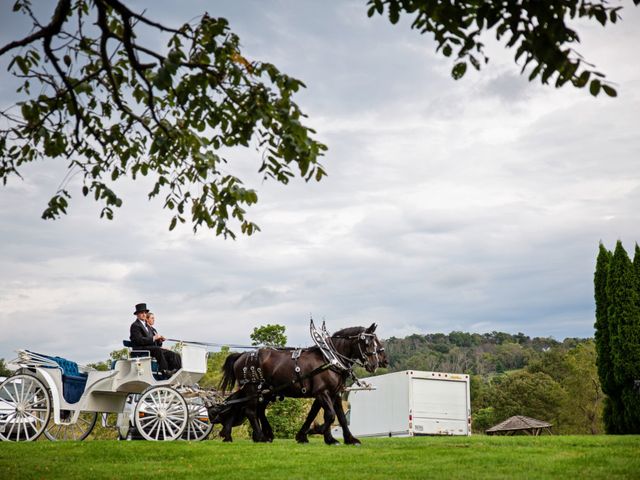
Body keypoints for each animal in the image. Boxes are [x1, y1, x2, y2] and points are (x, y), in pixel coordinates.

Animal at [218, 324, 388, 444]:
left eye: (376, 343)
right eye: (366, 342)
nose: (375, 364)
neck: (329, 359)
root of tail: (242, 355)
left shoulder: (335, 393)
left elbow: (339, 416)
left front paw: (347, 439)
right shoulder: (322, 393)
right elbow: (330, 415)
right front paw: (316, 431)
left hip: (265, 392)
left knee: (255, 409)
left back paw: (254, 435)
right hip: (252, 388)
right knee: (250, 411)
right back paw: (260, 437)